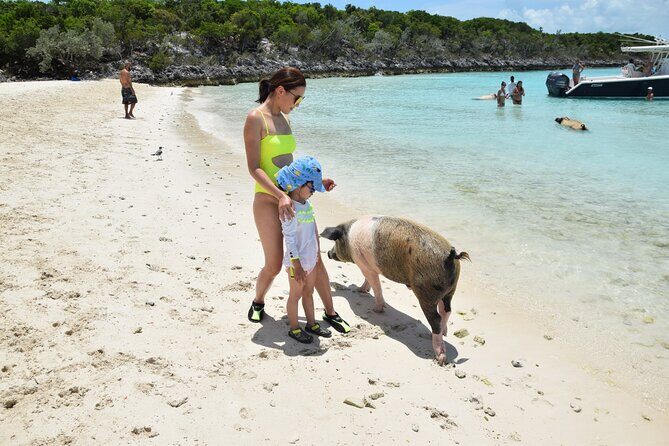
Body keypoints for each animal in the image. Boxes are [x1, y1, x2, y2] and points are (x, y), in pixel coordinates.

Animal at [321, 216, 470, 364]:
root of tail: (450, 256)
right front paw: (360, 290)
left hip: (426, 292)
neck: (348, 236)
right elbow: (368, 281)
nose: (328, 253)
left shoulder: (364, 265)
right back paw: (444, 332)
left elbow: (376, 286)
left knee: (436, 318)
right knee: (447, 310)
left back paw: (440, 357)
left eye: (336, 241)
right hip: (450, 290)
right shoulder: (368, 267)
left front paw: (376, 310)